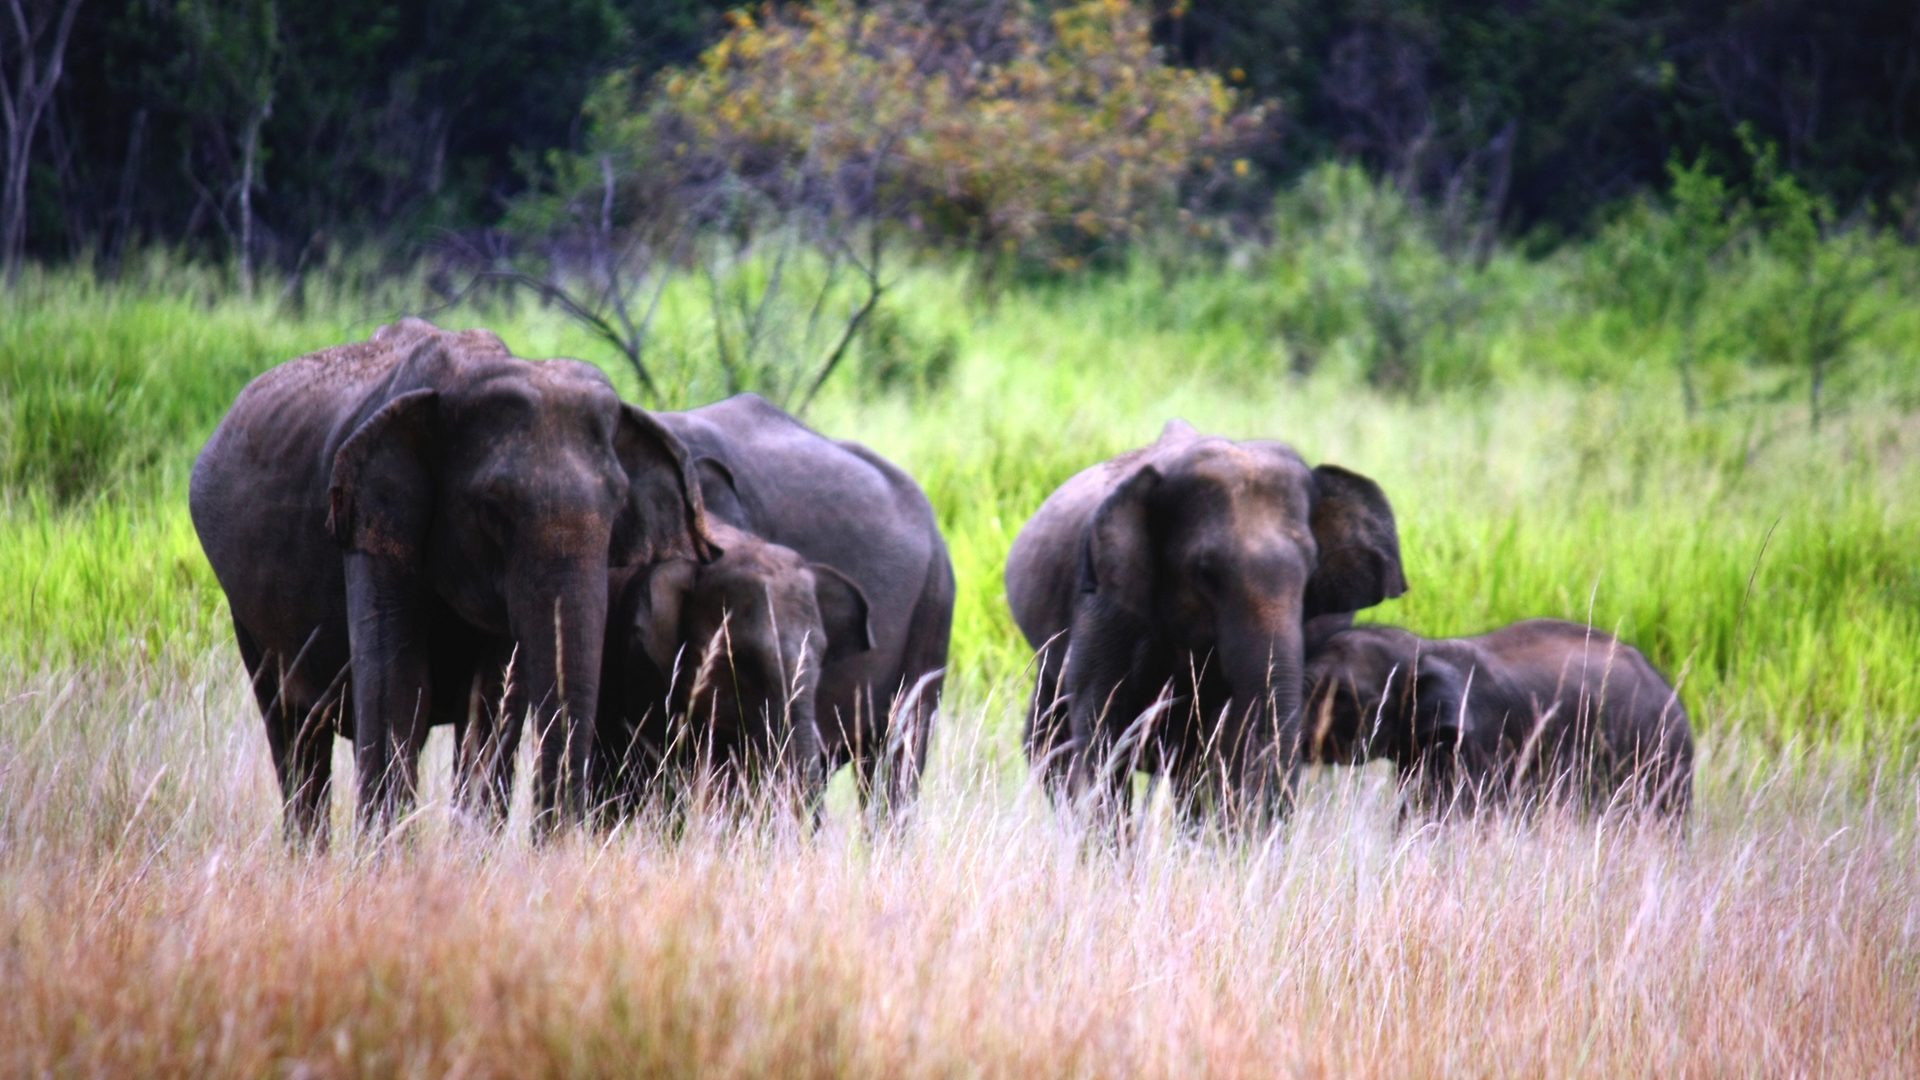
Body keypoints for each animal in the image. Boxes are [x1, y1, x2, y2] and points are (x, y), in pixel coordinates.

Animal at [189, 315, 714, 845]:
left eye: (619, 505)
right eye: (492, 508)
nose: (553, 844)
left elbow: (494, 696)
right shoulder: (371, 520)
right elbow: (399, 685)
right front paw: (388, 858)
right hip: (244, 609)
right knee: (293, 728)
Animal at [1006, 417, 1413, 818]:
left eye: (1312, 571)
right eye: (1205, 572)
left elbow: (1223, 744)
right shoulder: (1105, 604)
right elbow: (1102, 728)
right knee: (1047, 739)